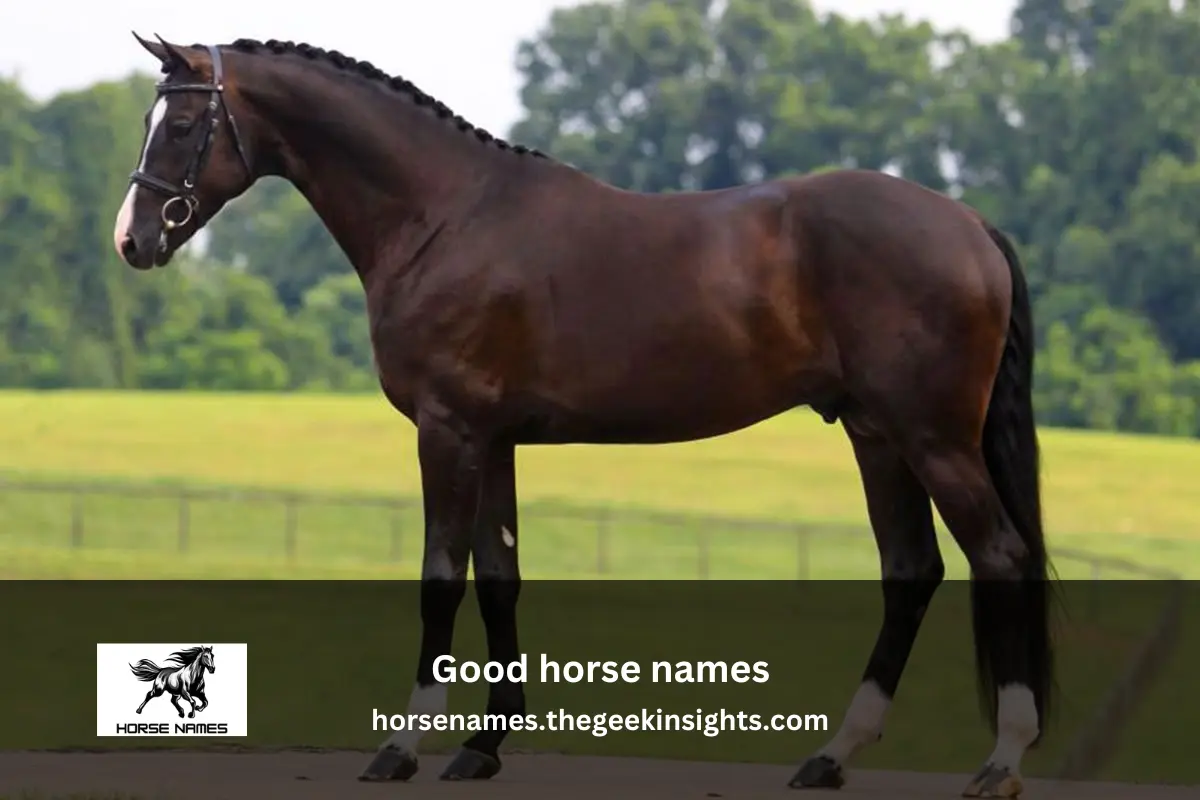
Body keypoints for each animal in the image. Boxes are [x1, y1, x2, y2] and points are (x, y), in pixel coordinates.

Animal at [112, 34, 1056, 798]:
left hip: (933, 438)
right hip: (876, 435)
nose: (133, 239)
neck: (446, 215)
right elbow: (499, 577)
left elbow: (439, 576)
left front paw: (404, 747)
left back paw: (1001, 760)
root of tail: (969, 223)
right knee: (911, 571)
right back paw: (831, 756)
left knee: (1001, 556)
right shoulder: (491, 439)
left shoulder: (447, 432)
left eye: (184, 126)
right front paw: (482, 748)